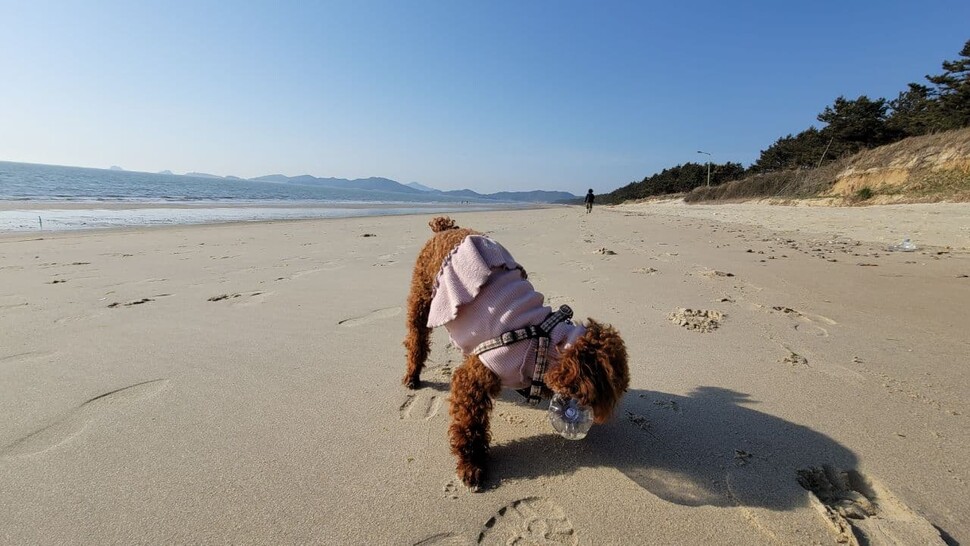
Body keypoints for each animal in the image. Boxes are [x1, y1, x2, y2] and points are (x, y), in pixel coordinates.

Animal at [400, 215, 628, 486]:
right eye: (611, 389)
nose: (603, 416)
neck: (545, 341)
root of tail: (445, 228)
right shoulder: (473, 380)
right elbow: (468, 426)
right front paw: (471, 465)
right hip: (421, 296)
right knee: (416, 338)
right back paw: (412, 375)